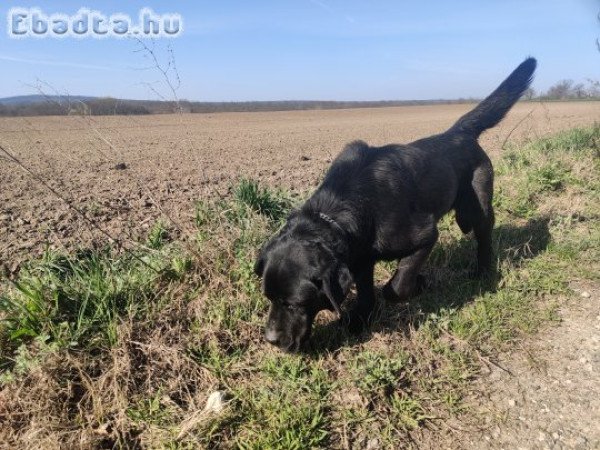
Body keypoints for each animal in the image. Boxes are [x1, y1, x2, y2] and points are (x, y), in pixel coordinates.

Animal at [255, 57, 536, 352]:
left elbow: (397, 285)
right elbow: (366, 294)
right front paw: (359, 322)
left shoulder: (425, 235)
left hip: (477, 206)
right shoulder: (360, 260)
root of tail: (458, 133)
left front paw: (417, 284)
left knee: (483, 237)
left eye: (294, 303)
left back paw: (482, 272)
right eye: (269, 298)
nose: (271, 340)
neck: (340, 211)